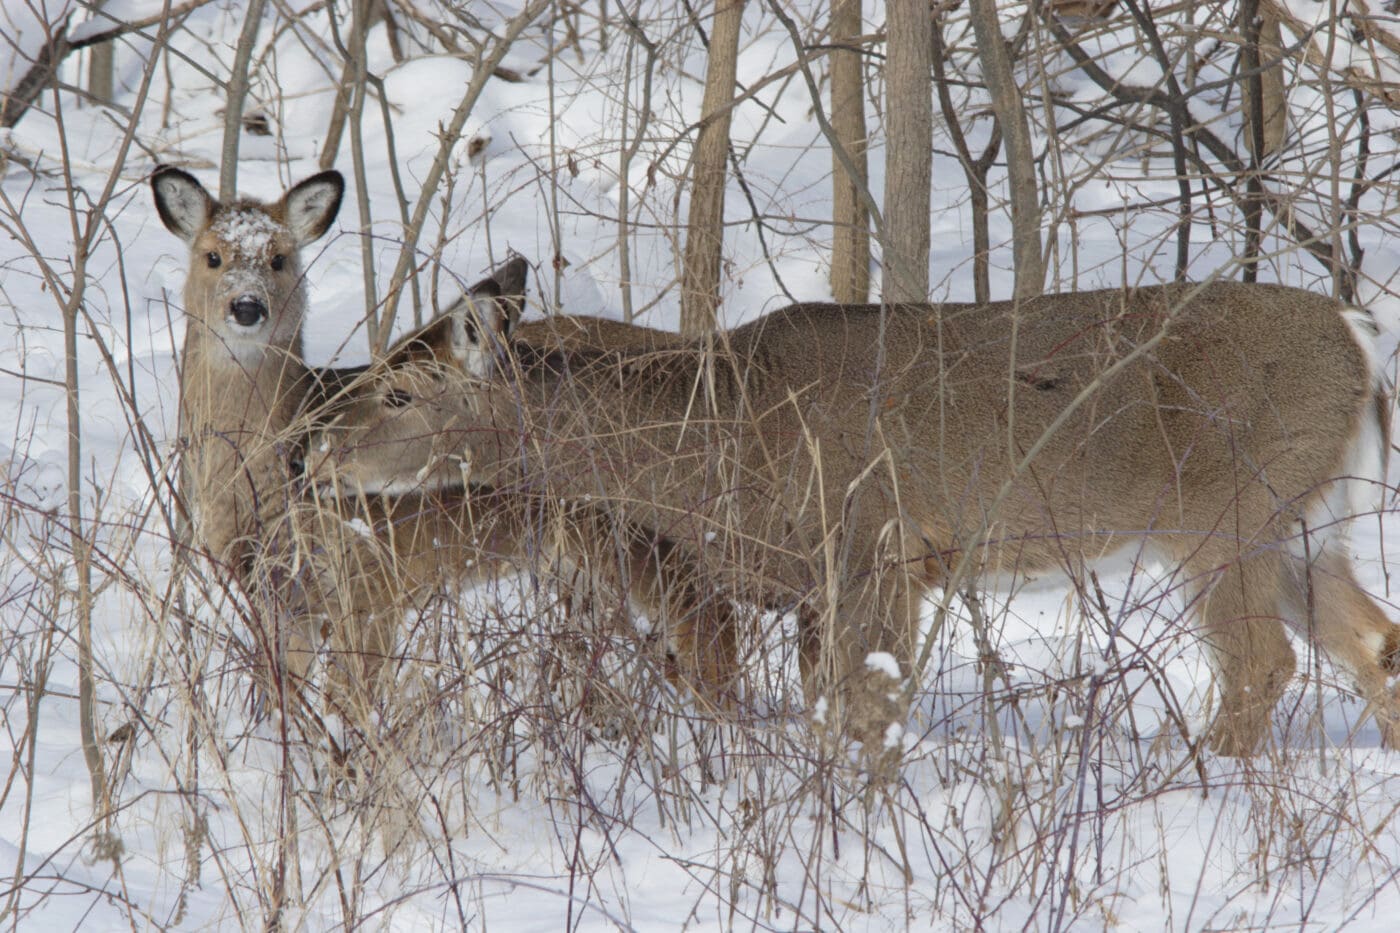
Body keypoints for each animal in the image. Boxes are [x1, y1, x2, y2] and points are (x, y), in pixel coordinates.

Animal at [303, 277, 1400, 756]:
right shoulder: (807, 582)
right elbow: (822, 700)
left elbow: (859, 707)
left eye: (400, 393)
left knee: (1263, 661)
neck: (708, 435)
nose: (310, 444)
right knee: (1372, 639)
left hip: (1228, 510)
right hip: (1301, 518)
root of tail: (1358, 347)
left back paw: (1203, 769)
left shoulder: (872, 544)